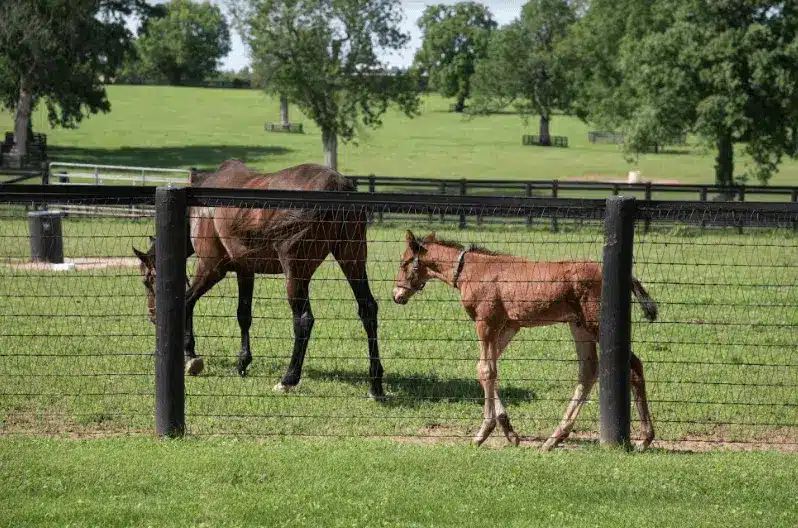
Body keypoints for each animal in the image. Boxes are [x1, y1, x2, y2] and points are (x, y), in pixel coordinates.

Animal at [132, 159, 388, 398]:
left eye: (146, 280)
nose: (152, 315)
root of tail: (336, 185)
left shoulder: (211, 268)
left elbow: (186, 301)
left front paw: (190, 356)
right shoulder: (245, 270)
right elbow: (243, 315)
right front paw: (242, 361)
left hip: (296, 272)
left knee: (304, 320)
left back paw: (288, 379)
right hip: (352, 259)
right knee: (367, 309)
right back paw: (375, 384)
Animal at [390, 231, 660, 450]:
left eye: (404, 262)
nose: (396, 295)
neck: (472, 270)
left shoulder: (486, 322)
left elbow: (487, 370)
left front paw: (483, 432)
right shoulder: (510, 325)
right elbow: (484, 369)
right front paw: (509, 432)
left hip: (596, 324)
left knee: (633, 365)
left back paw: (644, 439)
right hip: (579, 325)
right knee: (588, 370)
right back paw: (554, 439)